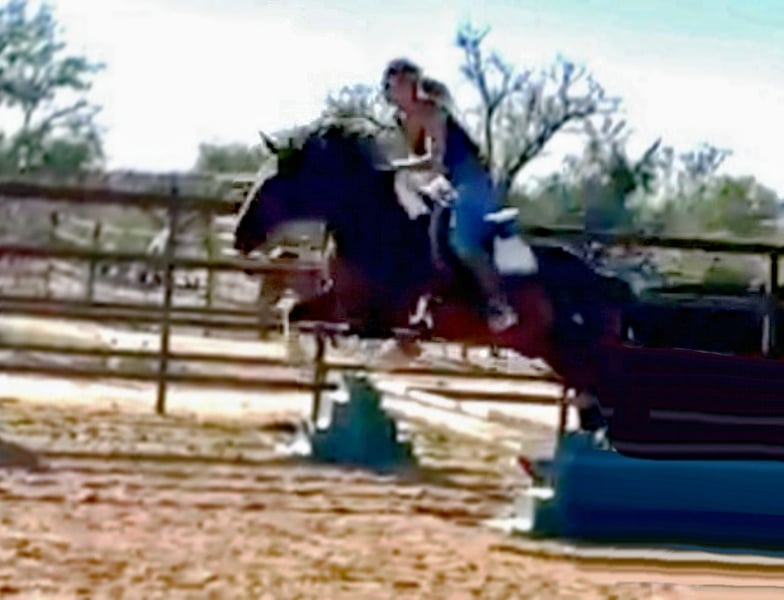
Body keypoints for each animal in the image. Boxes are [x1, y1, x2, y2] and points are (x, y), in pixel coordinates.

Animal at [233, 123, 635, 431]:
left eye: (274, 183)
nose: (240, 236)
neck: (374, 225)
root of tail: (606, 282)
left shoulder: (378, 316)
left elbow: (378, 339)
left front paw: (388, 359)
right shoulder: (341, 302)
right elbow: (293, 312)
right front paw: (303, 363)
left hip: (585, 356)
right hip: (558, 355)